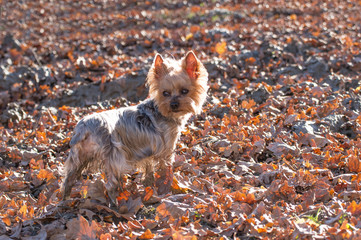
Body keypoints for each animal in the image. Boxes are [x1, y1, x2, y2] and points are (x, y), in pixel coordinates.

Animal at [61, 50, 208, 204]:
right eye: (165, 93)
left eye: (185, 91)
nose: (173, 104)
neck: (162, 112)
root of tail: (84, 128)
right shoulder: (166, 150)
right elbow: (165, 170)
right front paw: (166, 187)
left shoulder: (148, 154)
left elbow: (149, 172)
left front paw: (149, 186)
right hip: (114, 158)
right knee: (110, 184)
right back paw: (115, 204)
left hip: (80, 157)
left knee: (68, 180)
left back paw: (64, 201)